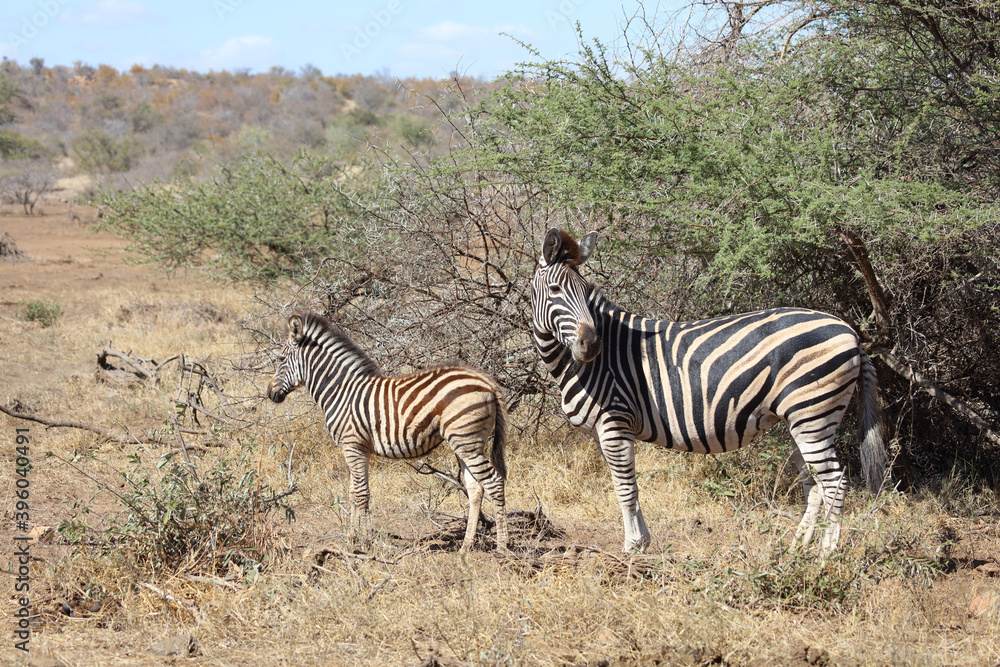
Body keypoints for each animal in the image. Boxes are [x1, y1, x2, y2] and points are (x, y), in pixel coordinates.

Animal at [267, 311, 509, 553]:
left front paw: (366, 542)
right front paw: (352, 538)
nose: (270, 394)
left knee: (494, 482)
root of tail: (486, 381)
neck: (341, 390)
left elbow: (361, 493)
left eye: (280, 359)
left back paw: (502, 547)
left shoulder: (352, 445)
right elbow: (353, 492)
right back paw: (466, 547)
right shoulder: (358, 449)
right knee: (476, 488)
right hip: (466, 443)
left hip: (467, 441)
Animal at [530, 228, 888, 557]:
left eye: (586, 291)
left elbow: (625, 487)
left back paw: (827, 555)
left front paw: (632, 547)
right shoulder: (605, 431)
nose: (591, 346)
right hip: (801, 419)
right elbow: (627, 484)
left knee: (835, 482)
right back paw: (797, 547)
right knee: (813, 484)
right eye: (555, 290)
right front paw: (643, 540)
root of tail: (851, 332)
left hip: (813, 414)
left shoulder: (615, 421)